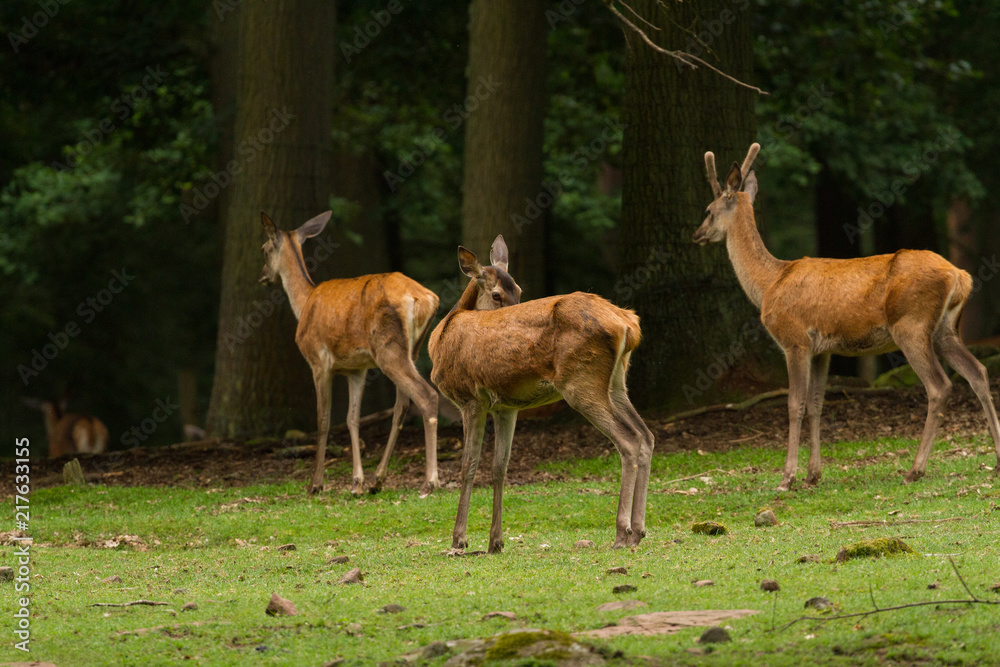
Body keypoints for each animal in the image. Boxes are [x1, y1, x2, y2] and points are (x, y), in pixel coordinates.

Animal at [259, 210, 440, 497]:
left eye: (264, 249)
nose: (263, 276)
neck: (304, 302)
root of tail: (425, 299)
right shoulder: (357, 369)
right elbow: (352, 419)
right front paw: (357, 482)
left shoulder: (318, 359)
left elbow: (323, 419)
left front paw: (316, 484)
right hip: (412, 349)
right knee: (402, 405)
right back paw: (378, 480)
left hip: (387, 347)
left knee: (427, 395)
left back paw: (430, 481)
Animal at [428, 237, 654, 553]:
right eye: (497, 294)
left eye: (520, 291)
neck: (441, 336)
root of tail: (628, 324)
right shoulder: (506, 407)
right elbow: (499, 467)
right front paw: (495, 541)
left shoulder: (470, 398)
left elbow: (467, 465)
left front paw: (459, 539)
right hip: (617, 383)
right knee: (646, 435)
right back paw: (638, 531)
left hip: (581, 383)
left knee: (629, 440)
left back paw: (622, 533)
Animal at [694, 143, 1000, 491]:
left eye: (708, 209)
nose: (697, 234)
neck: (769, 283)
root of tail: (960, 276)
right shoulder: (822, 350)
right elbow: (816, 403)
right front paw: (813, 474)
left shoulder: (794, 340)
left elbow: (795, 404)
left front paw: (787, 478)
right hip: (945, 330)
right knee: (978, 372)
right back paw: (996, 459)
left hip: (911, 325)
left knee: (940, 386)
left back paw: (915, 469)